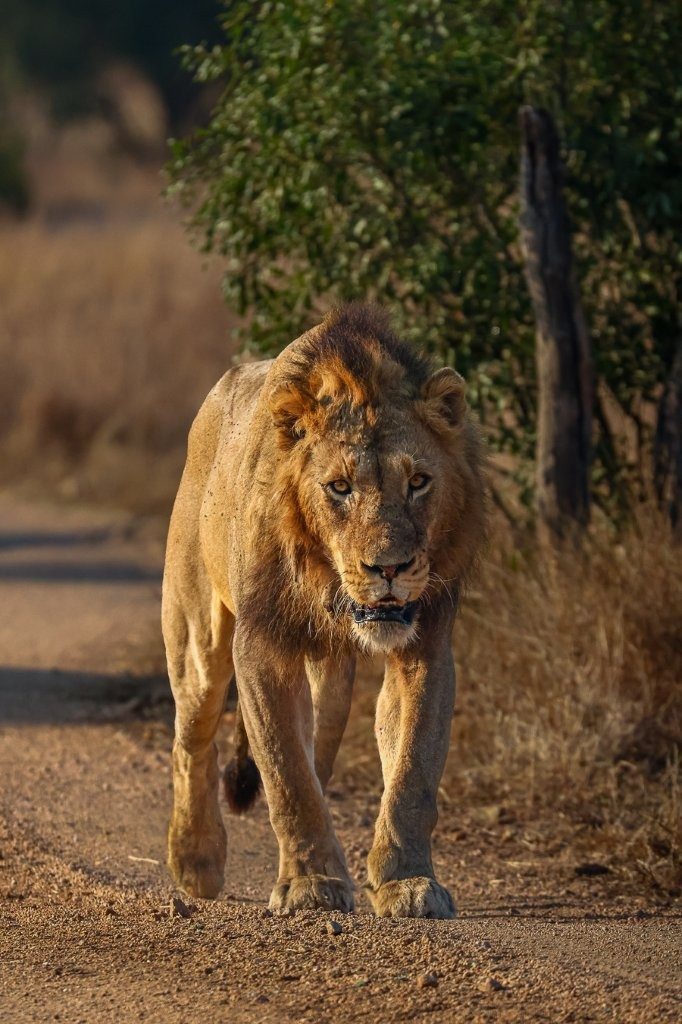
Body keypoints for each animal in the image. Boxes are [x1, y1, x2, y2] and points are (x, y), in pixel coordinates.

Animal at [163, 303, 485, 918]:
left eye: (418, 481)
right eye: (339, 487)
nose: (389, 568)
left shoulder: (427, 645)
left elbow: (412, 771)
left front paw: (407, 881)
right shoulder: (261, 645)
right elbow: (287, 773)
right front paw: (311, 884)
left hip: (331, 682)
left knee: (322, 744)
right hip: (197, 636)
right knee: (192, 736)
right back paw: (195, 862)